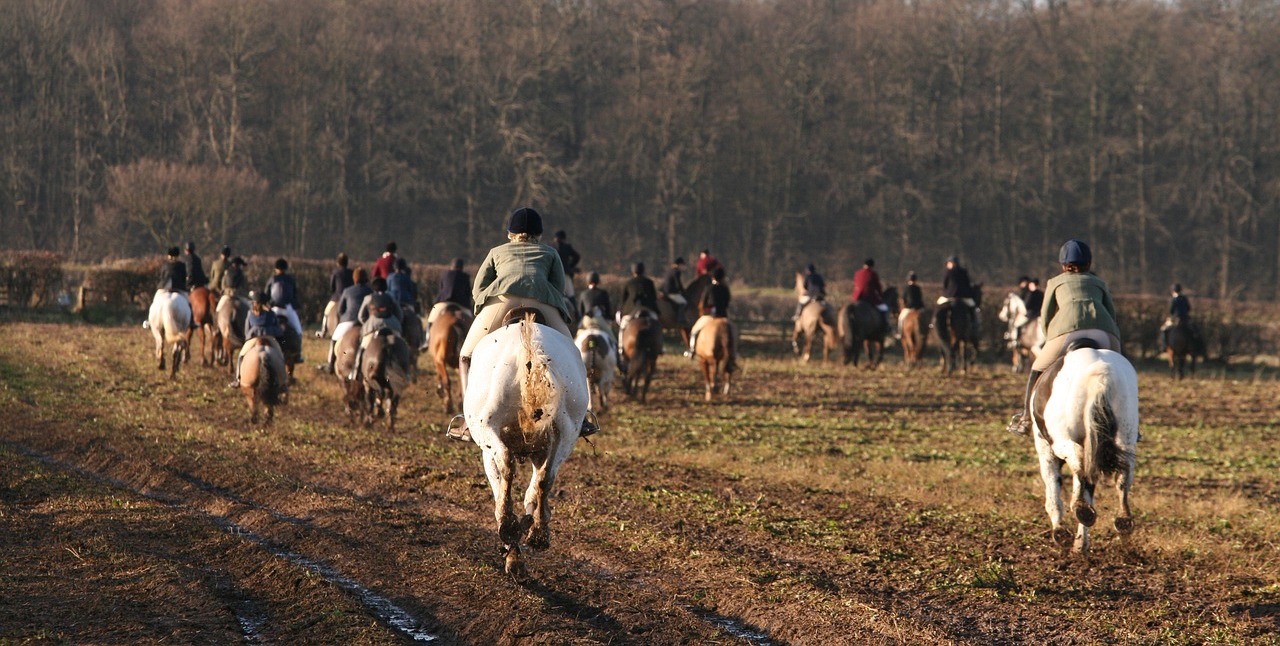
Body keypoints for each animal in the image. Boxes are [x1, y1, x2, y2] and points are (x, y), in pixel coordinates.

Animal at [465, 315, 588, 573]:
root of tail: (530, 351)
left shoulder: (487, 453)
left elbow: (501, 487)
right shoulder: (542, 449)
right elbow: (535, 487)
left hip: (487, 426)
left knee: (506, 464)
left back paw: (511, 525)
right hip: (567, 431)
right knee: (545, 478)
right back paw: (538, 533)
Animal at [1029, 345, 1141, 552]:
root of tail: (1102, 372)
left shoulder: (1045, 450)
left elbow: (1053, 490)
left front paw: (1062, 532)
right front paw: (1081, 543)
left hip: (1061, 441)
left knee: (1078, 460)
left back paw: (1080, 510)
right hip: (1125, 437)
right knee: (1123, 473)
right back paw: (1122, 521)